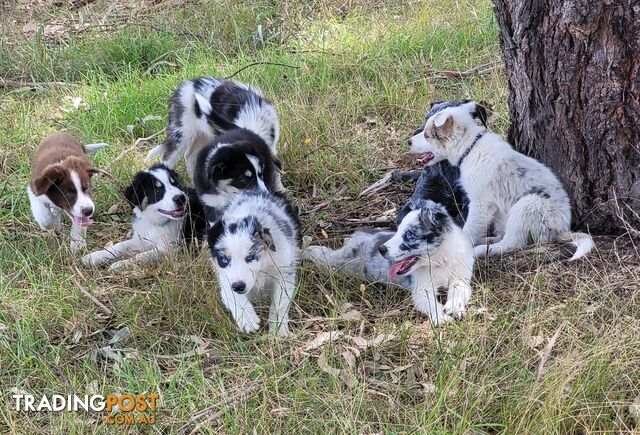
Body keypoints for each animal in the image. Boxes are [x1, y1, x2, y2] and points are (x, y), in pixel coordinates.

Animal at [304, 199, 476, 326]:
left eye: (408, 235)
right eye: (398, 231)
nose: (381, 249)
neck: (441, 262)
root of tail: (354, 237)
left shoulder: (461, 279)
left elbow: (458, 291)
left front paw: (454, 306)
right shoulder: (421, 290)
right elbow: (431, 304)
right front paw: (441, 318)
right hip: (339, 263)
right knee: (324, 255)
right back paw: (308, 250)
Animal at [410, 100, 596, 260]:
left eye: (427, 135)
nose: (408, 141)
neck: (471, 147)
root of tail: (562, 229)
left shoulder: (480, 204)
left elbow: (469, 229)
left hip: (526, 206)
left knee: (511, 243)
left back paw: (483, 250)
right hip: (504, 213)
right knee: (502, 235)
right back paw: (487, 241)